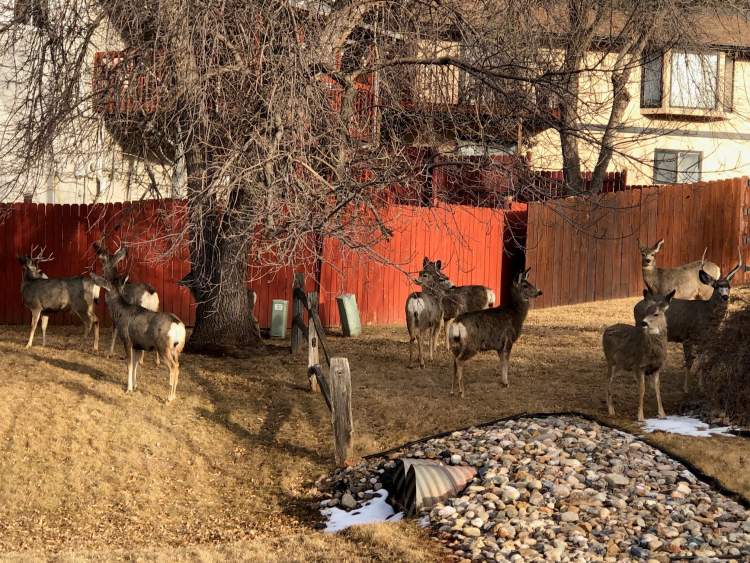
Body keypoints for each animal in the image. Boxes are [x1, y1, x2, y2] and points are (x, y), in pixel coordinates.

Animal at [90, 273, 186, 403]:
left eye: (104, 288)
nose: (98, 300)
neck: (121, 312)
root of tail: (178, 326)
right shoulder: (138, 345)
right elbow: (135, 365)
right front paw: (135, 385)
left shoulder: (127, 340)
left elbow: (129, 364)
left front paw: (129, 388)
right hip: (177, 349)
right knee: (178, 366)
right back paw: (174, 396)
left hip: (163, 347)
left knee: (173, 367)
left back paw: (169, 398)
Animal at [447, 268, 542, 398]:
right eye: (525, 285)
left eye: (529, 282)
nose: (539, 292)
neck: (516, 315)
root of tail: (456, 323)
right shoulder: (508, 340)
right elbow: (506, 363)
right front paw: (506, 383)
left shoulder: (499, 346)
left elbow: (502, 362)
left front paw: (503, 382)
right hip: (472, 345)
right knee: (459, 361)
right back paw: (462, 392)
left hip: (454, 344)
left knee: (454, 363)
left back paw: (452, 391)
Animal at [604, 289, 675, 421]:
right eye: (646, 311)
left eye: (656, 314)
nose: (643, 322)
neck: (653, 354)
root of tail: (606, 330)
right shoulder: (639, 366)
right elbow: (642, 389)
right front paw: (640, 416)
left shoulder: (657, 368)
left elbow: (657, 389)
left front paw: (662, 414)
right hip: (610, 360)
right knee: (608, 381)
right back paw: (611, 411)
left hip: (621, 365)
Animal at [634, 252, 742, 392]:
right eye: (716, 286)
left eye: (729, 286)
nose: (725, 297)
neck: (705, 314)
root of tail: (635, 306)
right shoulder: (687, 336)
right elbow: (689, 362)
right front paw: (686, 388)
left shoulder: (705, 340)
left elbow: (702, 362)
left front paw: (701, 387)